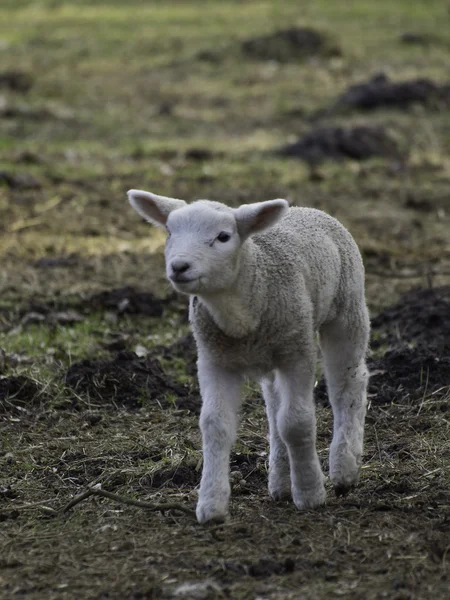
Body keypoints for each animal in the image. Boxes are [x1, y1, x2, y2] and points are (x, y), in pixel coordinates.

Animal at [126, 190, 370, 524]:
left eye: (223, 237)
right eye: (170, 233)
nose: (179, 266)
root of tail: (307, 209)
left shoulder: (297, 353)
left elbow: (296, 422)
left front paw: (310, 493)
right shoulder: (214, 359)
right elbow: (215, 424)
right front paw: (211, 505)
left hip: (346, 310)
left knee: (348, 384)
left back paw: (344, 467)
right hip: (274, 351)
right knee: (274, 406)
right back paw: (281, 481)